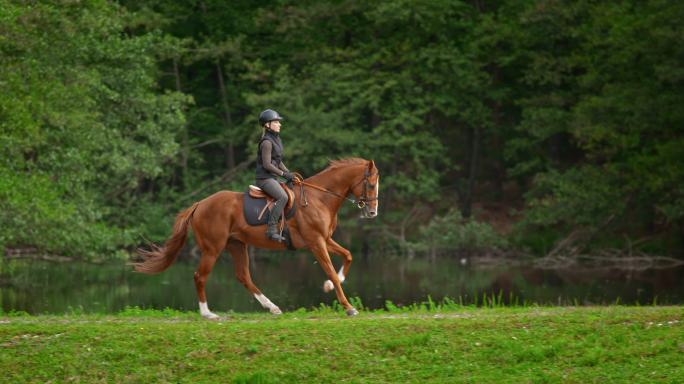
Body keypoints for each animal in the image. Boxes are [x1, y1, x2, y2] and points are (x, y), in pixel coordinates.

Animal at [134, 158, 380, 318]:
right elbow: (330, 269)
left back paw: (272, 307)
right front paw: (348, 306)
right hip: (213, 248)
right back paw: (207, 313)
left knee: (244, 277)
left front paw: (332, 284)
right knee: (200, 276)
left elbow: (348, 256)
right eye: (370, 184)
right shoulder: (316, 242)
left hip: (237, 245)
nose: (372, 213)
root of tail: (199, 204)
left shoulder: (325, 239)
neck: (319, 198)